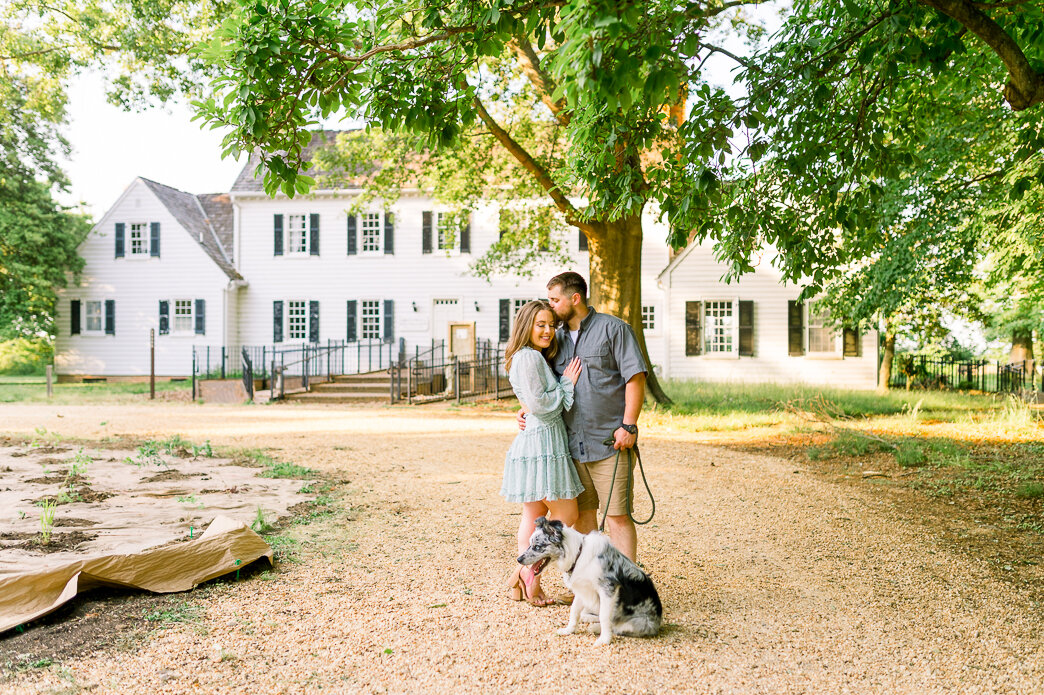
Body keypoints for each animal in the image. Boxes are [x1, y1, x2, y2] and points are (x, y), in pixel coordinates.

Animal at [519, 513, 663, 642]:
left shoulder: (608, 590)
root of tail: (658, 622)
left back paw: (596, 628)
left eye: (537, 547)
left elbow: (605, 616)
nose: (518, 559)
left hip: (640, 622)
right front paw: (568, 630)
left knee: (618, 626)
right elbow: (574, 611)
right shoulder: (582, 589)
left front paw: (604, 640)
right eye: (530, 544)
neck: (578, 554)